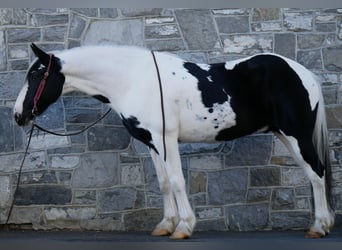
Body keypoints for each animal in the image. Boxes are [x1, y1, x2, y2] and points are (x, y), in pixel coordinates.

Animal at [12, 43, 334, 238]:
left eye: (36, 76)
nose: (17, 115)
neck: (134, 80)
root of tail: (304, 73)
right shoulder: (152, 142)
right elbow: (165, 183)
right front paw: (165, 225)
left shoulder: (166, 139)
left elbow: (178, 181)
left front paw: (184, 227)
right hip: (284, 134)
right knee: (313, 175)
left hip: (296, 134)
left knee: (316, 174)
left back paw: (320, 226)